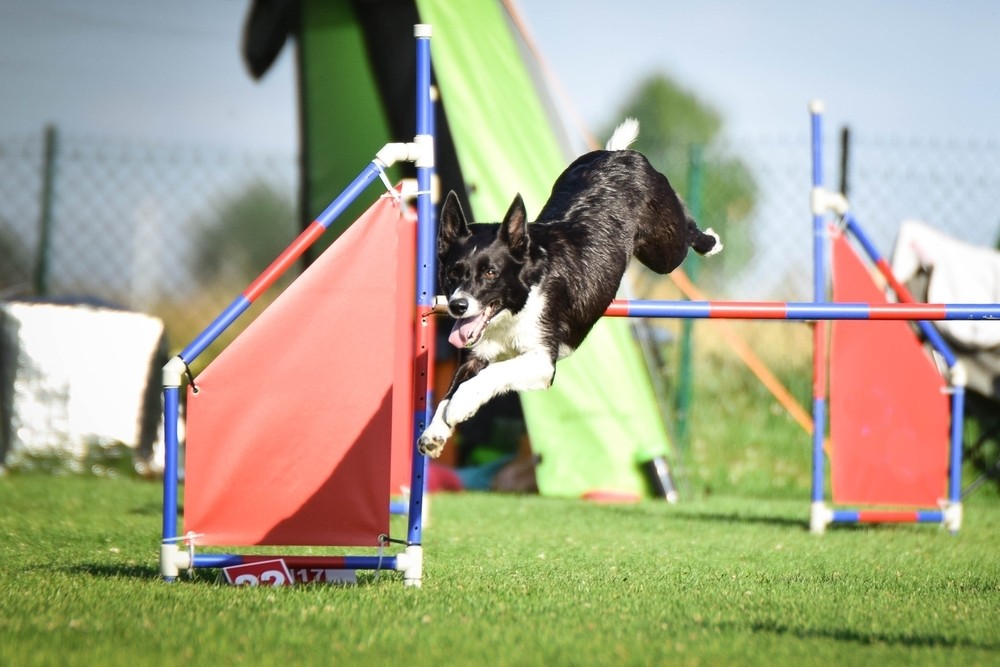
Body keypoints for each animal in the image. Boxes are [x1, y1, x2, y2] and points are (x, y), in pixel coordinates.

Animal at [418, 120, 724, 460]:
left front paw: (461, 406)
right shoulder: (476, 354)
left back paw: (711, 241)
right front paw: (434, 433)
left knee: (687, 231)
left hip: (664, 249)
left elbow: (489, 376)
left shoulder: (542, 361)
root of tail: (619, 154)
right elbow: (449, 392)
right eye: (452, 272)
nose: (457, 306)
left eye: (490, 273)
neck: (518, 305)